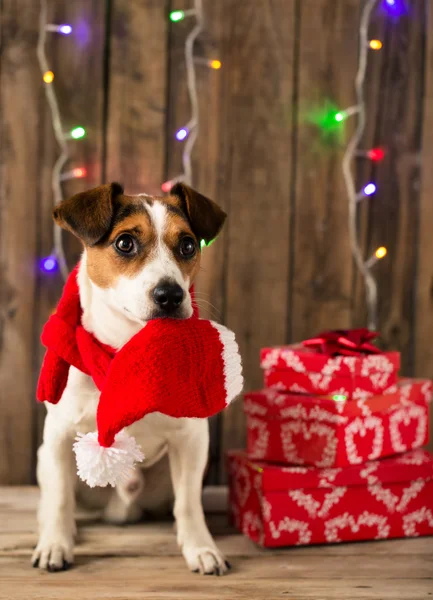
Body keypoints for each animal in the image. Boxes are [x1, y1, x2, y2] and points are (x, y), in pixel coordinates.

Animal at [33, 182, 230, 576]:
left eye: (188, 245)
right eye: (125, 242)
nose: (170, 295)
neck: (131, 349)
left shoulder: (192, 439)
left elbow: (188, 504)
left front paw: (200, 547)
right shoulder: (59, 436)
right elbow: (60, 497)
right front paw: (55, 544)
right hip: (46, 456)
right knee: (55, 495)